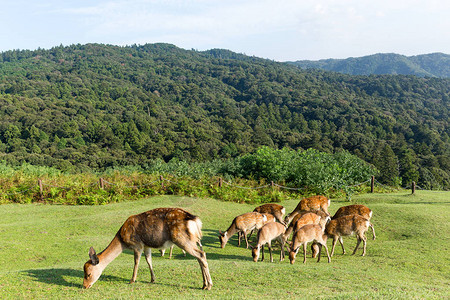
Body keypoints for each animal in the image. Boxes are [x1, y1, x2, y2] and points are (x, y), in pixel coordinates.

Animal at [82, 207, 213, 290]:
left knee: (201, 254)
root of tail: (196, 220)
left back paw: (209, 285)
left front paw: (132, 280)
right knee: (200, 256)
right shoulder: (146, 246)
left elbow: (136, 262)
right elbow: (149, 260)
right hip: (191, 240)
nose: (84, 286)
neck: (122, 239)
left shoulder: (137, 245)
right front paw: (152, 279)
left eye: (88, 274)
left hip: (181, 239)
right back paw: (203, 284)